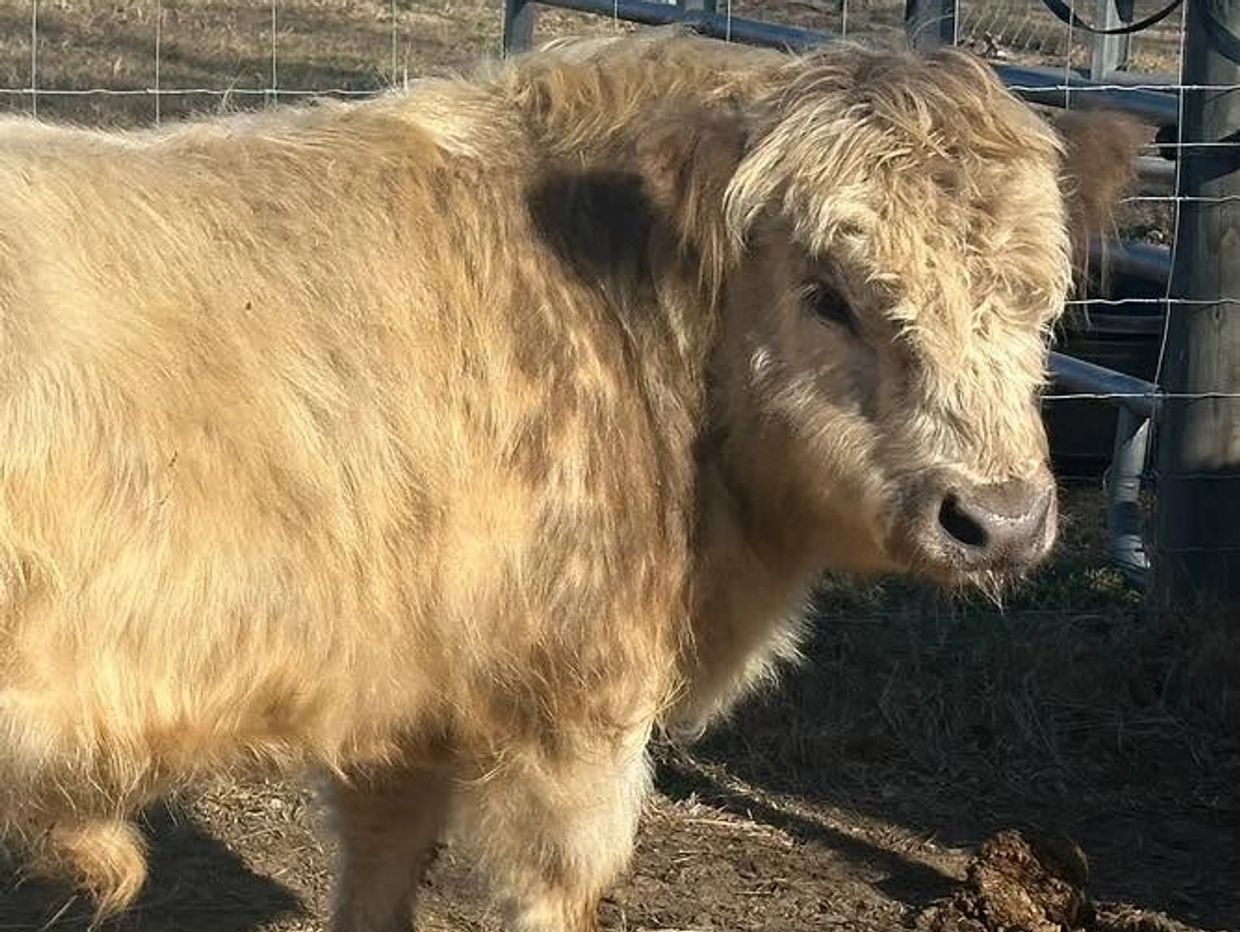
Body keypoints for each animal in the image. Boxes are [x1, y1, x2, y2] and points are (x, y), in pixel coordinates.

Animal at [0, 28, 1141, 932]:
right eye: (828, 293)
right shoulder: (573, 710)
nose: (998, 518)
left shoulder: (401, 707)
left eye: (1039, 294)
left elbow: (380, 868)